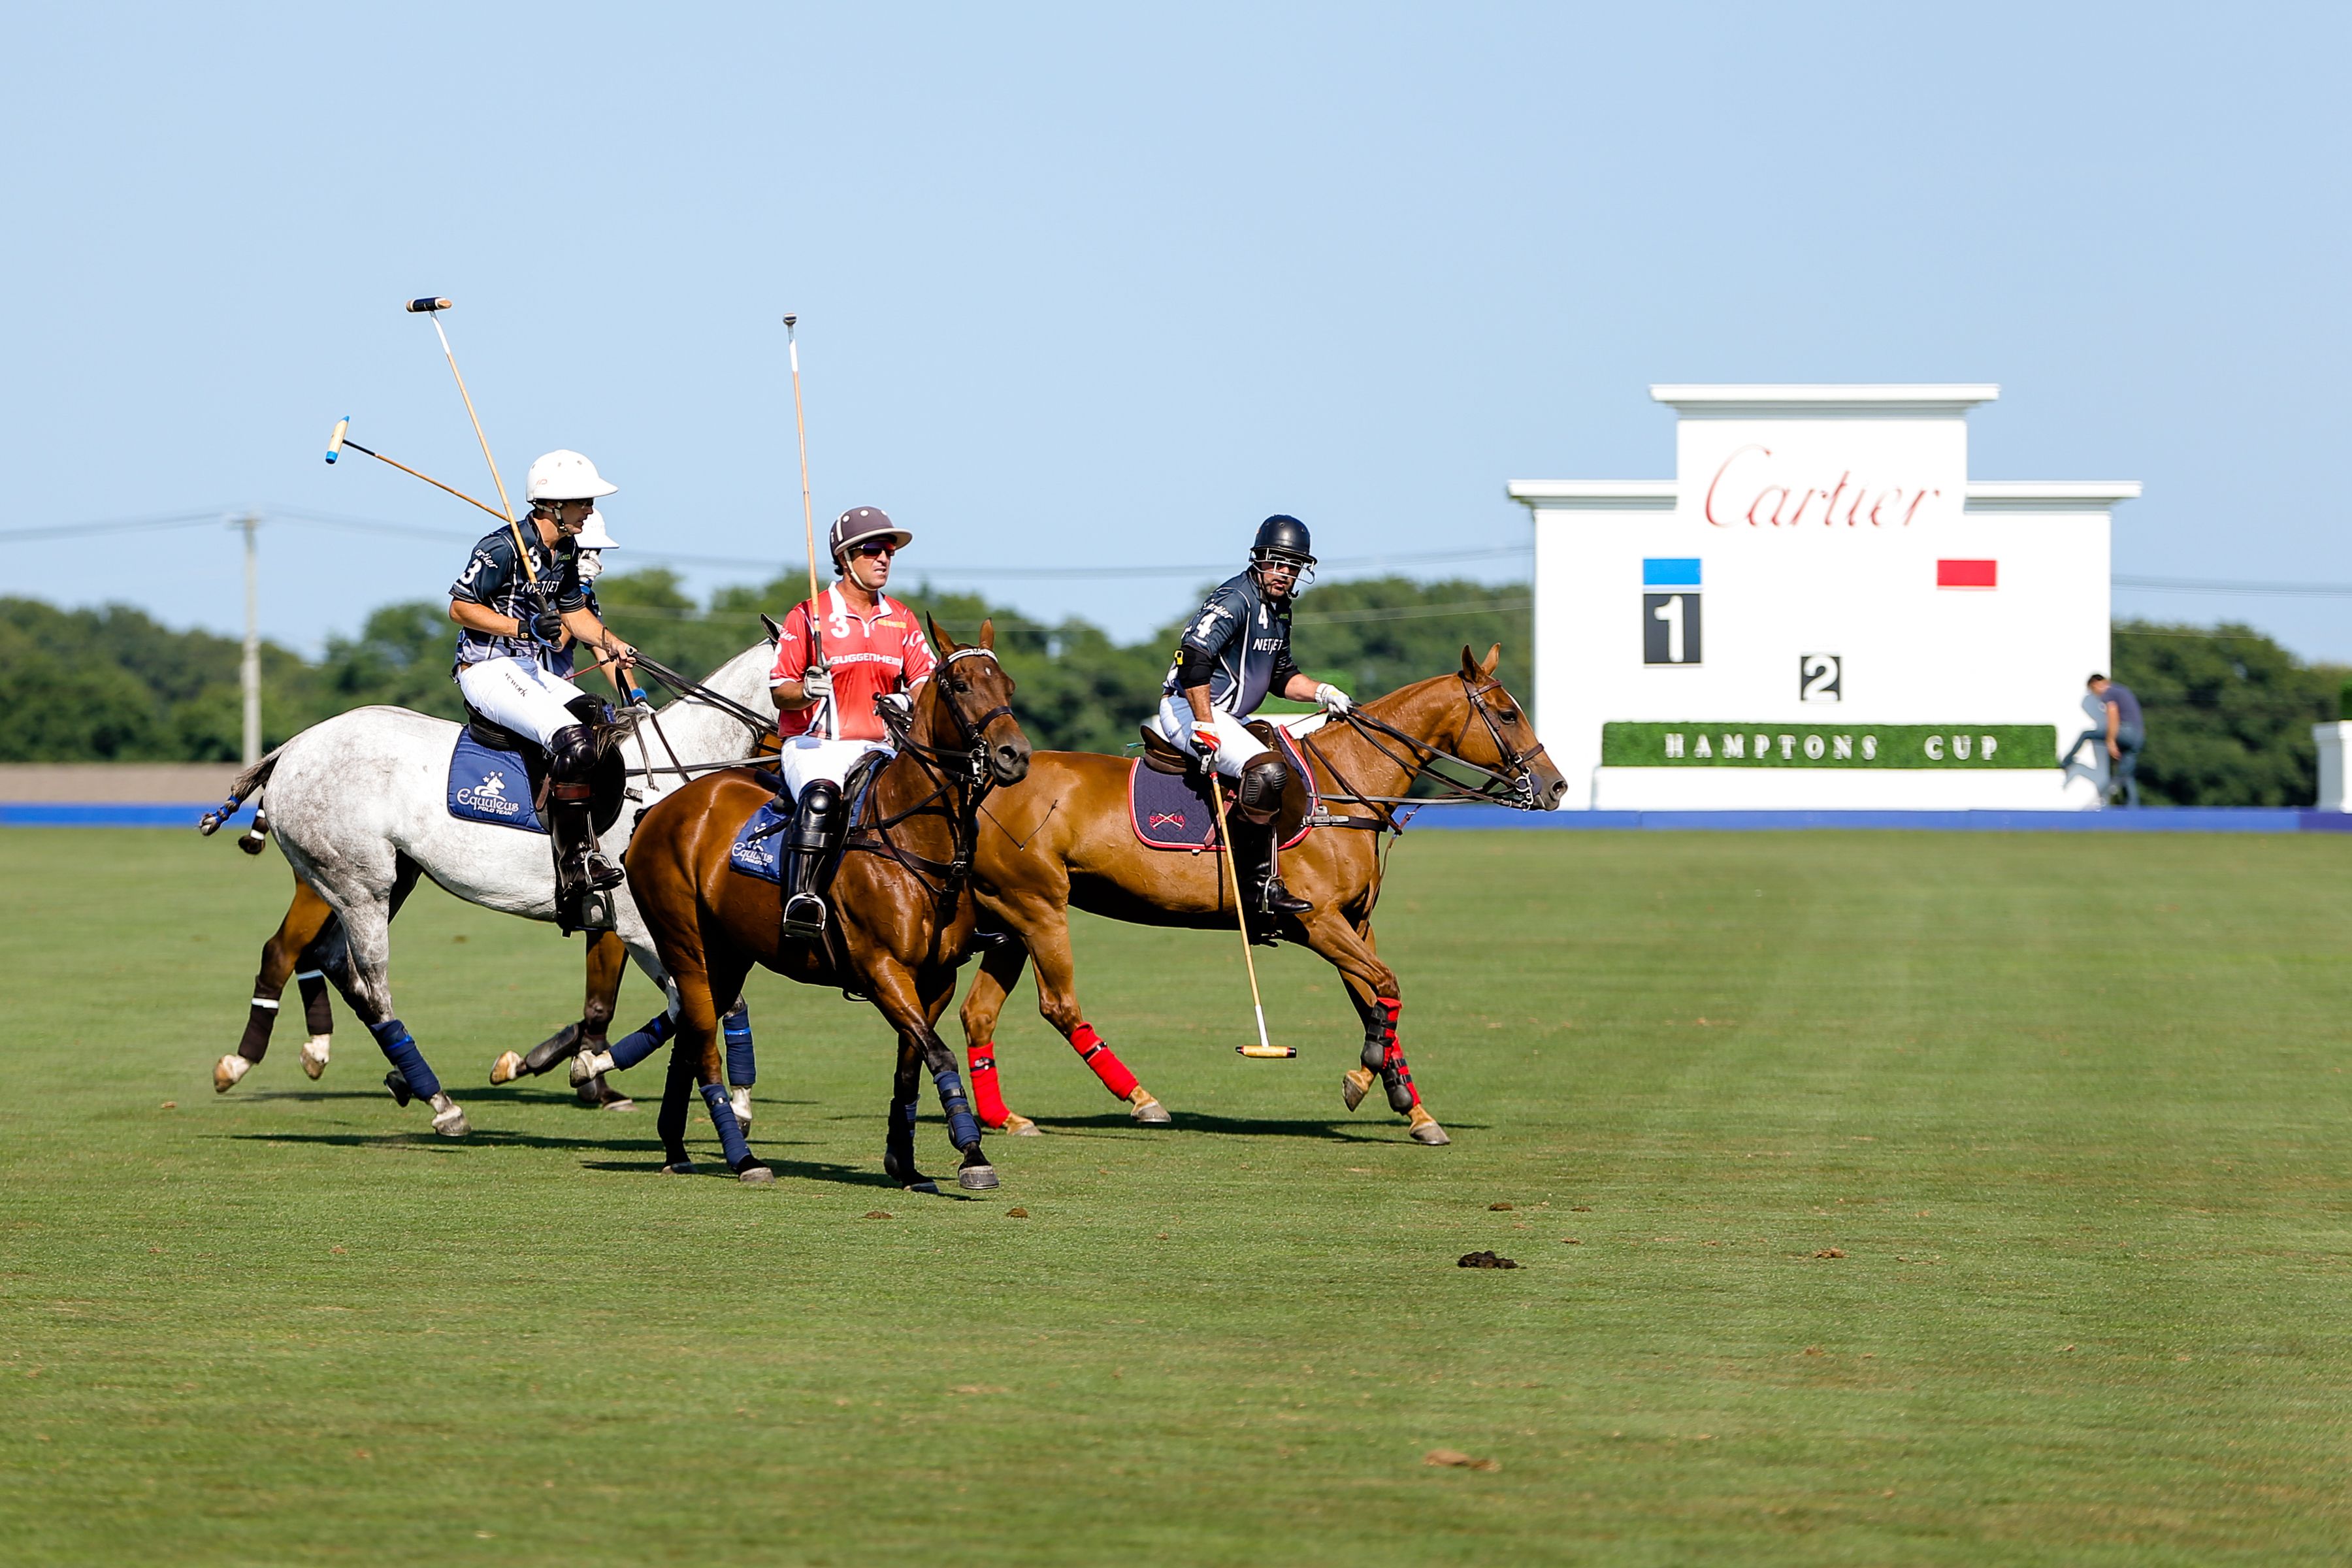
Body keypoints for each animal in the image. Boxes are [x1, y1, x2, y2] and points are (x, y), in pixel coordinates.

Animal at [212, 644, 781, 1133]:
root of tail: (289, 749)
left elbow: (694, 1005)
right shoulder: (637, 926)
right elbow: (706, 1002)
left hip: (385, 880)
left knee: (330, 961)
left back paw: (393, 1077)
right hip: (355, 885)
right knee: (359, 982)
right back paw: (436, 1102)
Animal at [625, 620, 1030, 1184]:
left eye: (1008, 686)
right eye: (962, 685)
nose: (1016, 755)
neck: (913, 837)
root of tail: (655, 812)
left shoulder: (936, 979)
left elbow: (912, 1066)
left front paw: (906, 1163)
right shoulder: (881, 969)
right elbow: (941, 1056)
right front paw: (973, 1153)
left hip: (726, 955)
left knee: (688, 1038)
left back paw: (675, 1146)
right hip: (685, 946)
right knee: (703, 1045)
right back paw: (743, 1158)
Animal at [945, 644, 1571, 1147]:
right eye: (1508, 712)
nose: (1556, 786)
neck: (1343, 789)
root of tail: (983, 786)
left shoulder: (1355, 924)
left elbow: (1376, 1001)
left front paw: (1413, 1111)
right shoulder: (1319, 923)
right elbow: (1388, 986)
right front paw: (1364, 1079)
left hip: (1009, 917)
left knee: (979, 1012)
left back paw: (1006, 1118)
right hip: (1038, 905)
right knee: (1058, 1004)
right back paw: (1143, 1101)